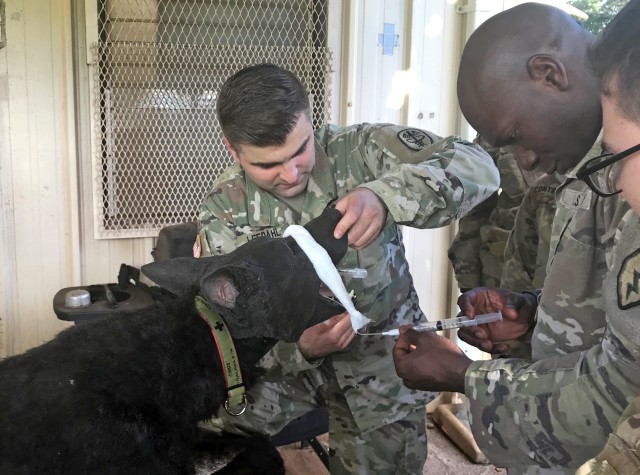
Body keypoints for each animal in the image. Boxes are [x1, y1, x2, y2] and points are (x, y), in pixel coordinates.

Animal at [0, 208, 348, 475]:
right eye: (291, 250)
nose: (336, 208)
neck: (208, 338)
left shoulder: (188, 436)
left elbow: (256, 443)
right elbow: (259, 453)